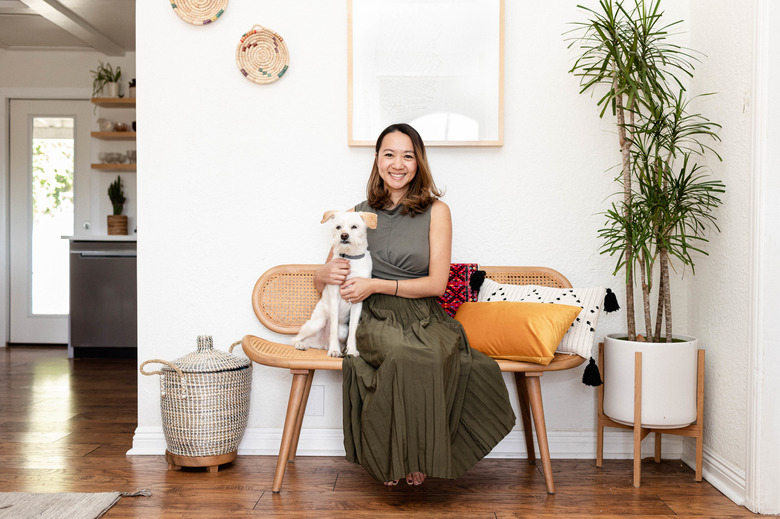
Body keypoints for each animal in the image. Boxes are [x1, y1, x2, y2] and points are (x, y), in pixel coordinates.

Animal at [292, 210, 378, 358]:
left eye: (354, 227)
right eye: (338, 227)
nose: (344, 235)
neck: (350, 259)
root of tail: (321, 344)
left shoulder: (357, 301)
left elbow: (353, 329)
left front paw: (352, 350)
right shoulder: (334, 299)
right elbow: (333, 330)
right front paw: (334, 350)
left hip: (343, 329)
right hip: (318, 322)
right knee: (294, 338)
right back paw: (301, 345)